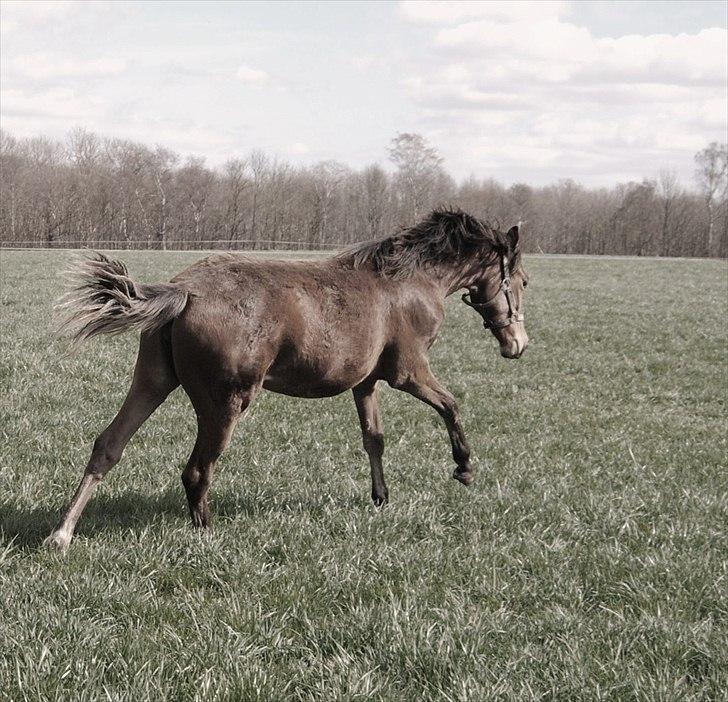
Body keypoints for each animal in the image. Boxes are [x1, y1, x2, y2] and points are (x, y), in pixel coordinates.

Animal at [44, 208, 528, 552]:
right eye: (521, 281)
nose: (517, 345)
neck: (409, 280)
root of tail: (183, 292)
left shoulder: (366, 383)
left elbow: (374, 439)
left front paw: (381, 498)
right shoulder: (408, 372)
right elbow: (450, 404)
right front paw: (464, 468)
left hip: (152, 382)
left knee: (109, 445)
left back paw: (62, 535)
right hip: (227, 403)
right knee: (197, 470)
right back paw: (206, 534)